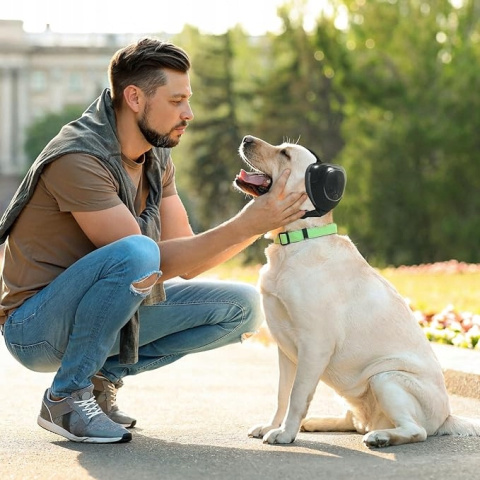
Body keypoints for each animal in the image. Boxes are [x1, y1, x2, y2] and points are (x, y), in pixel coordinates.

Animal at [233, 134, 480, 446]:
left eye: (285, 154)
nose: (245, 139)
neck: (297, 240)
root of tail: (447, 416)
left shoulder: (315, 345)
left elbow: (297, 396)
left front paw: (285, 433)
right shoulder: (285, 350)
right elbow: (281, 396)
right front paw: (272, 426)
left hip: (386, 378)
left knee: (415, 431)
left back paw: (380, 437)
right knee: (353, 421)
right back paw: (317, 423)